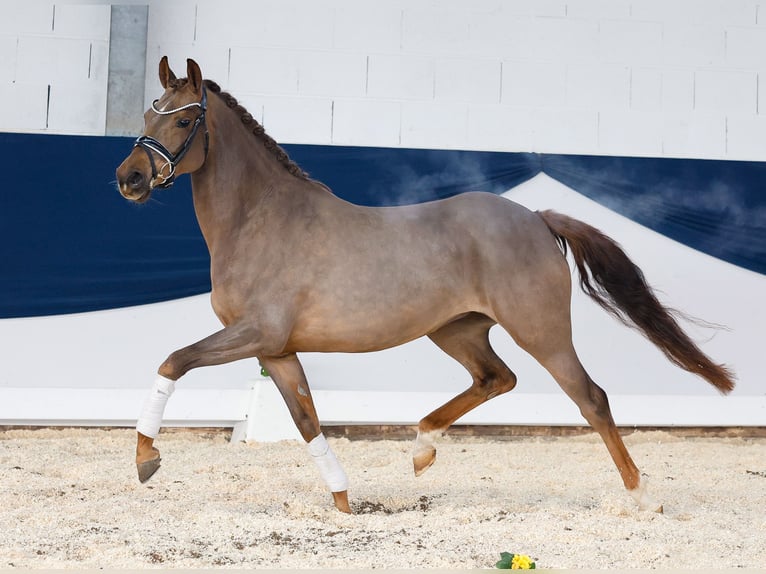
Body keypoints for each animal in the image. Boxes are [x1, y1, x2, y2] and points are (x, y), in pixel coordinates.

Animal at [115, 59, 736, 516]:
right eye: (148, 112)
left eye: (183, 121)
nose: (129, 179)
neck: (260, 219)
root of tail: (536, 218)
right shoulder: (277, 350)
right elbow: (306, 420)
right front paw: (344, 503)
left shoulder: (256, 334)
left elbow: (173, 361)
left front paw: (147, 458)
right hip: (456, 331)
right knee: (496, 378)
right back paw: (421, 450)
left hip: (541, 331)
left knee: (591, 398)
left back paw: (643, 496)